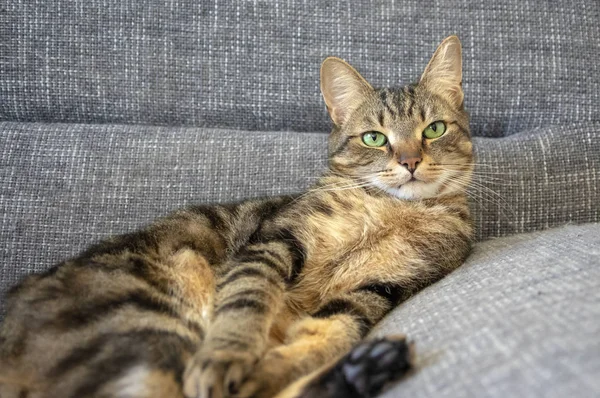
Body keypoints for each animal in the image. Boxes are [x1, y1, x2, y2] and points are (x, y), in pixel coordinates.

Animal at [0, 35, 474, 398]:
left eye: (434, 129)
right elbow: (248, 301)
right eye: (375, 138)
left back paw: (368, 367)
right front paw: (227, 357)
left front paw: (267, 371)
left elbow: (329, 332)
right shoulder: (274, 240)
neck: (389, 212)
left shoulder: (383, 286)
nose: (410, 161)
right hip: (145, 316)